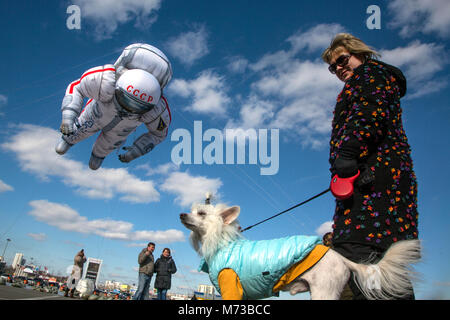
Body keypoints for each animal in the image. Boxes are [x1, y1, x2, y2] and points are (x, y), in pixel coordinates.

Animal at [180, 202, 422, 300]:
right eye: (192, 210)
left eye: (201, 213)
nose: (181, 214)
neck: (223, 244)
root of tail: (340, 257)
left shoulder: (231, 288)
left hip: (324, 292)